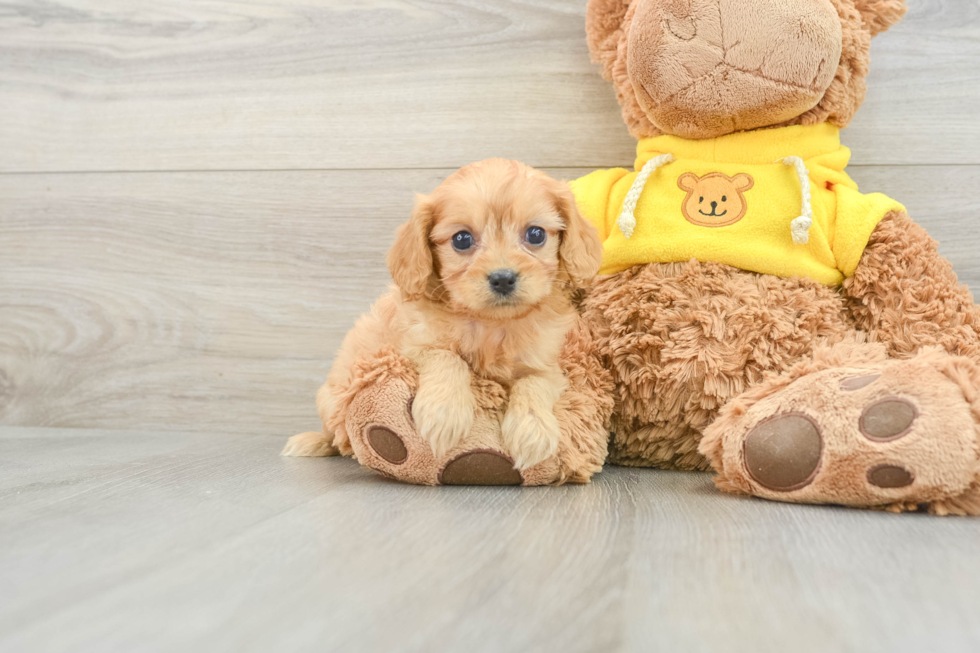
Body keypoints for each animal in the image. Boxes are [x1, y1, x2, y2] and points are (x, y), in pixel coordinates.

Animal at [284, 158, 600, 468]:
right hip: (332, 400)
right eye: (461, 239)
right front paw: (444, 412)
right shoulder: (412, 346)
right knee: (336, 435)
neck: (491, 324)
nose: (503, 278)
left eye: (536, 234)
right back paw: (314, 441)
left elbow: (535, 382)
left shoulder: (546, 363)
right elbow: (448, 357)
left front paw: (533, 431)